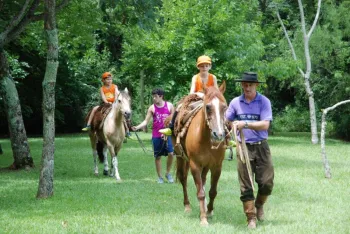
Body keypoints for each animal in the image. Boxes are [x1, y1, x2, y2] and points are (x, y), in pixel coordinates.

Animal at [174, 82, 228, 225]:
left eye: (224, 106)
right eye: (208, 107)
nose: (218, 134)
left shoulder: (216, 166)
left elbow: (212, 191)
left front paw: (208, 212)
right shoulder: (195, 165)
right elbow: (200, 193)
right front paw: (203, 219)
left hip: (206, 165)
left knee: (203, 181)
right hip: (180, 157)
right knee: (183, 178)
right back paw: (187, 206)